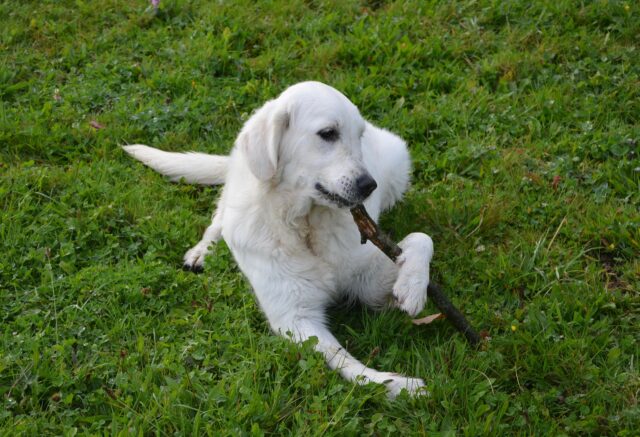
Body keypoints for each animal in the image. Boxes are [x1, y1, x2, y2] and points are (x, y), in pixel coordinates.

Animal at [124, 80, 436, 396]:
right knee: (220, 216)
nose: (369, 185)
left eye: (357, 137)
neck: (305, 227)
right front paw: (394, 385)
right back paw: (203, 250)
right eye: (328, 134)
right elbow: (346, 362)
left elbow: (422, 238)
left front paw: (412, 287)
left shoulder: (367, 284)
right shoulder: (295, 317)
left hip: (397, 163)